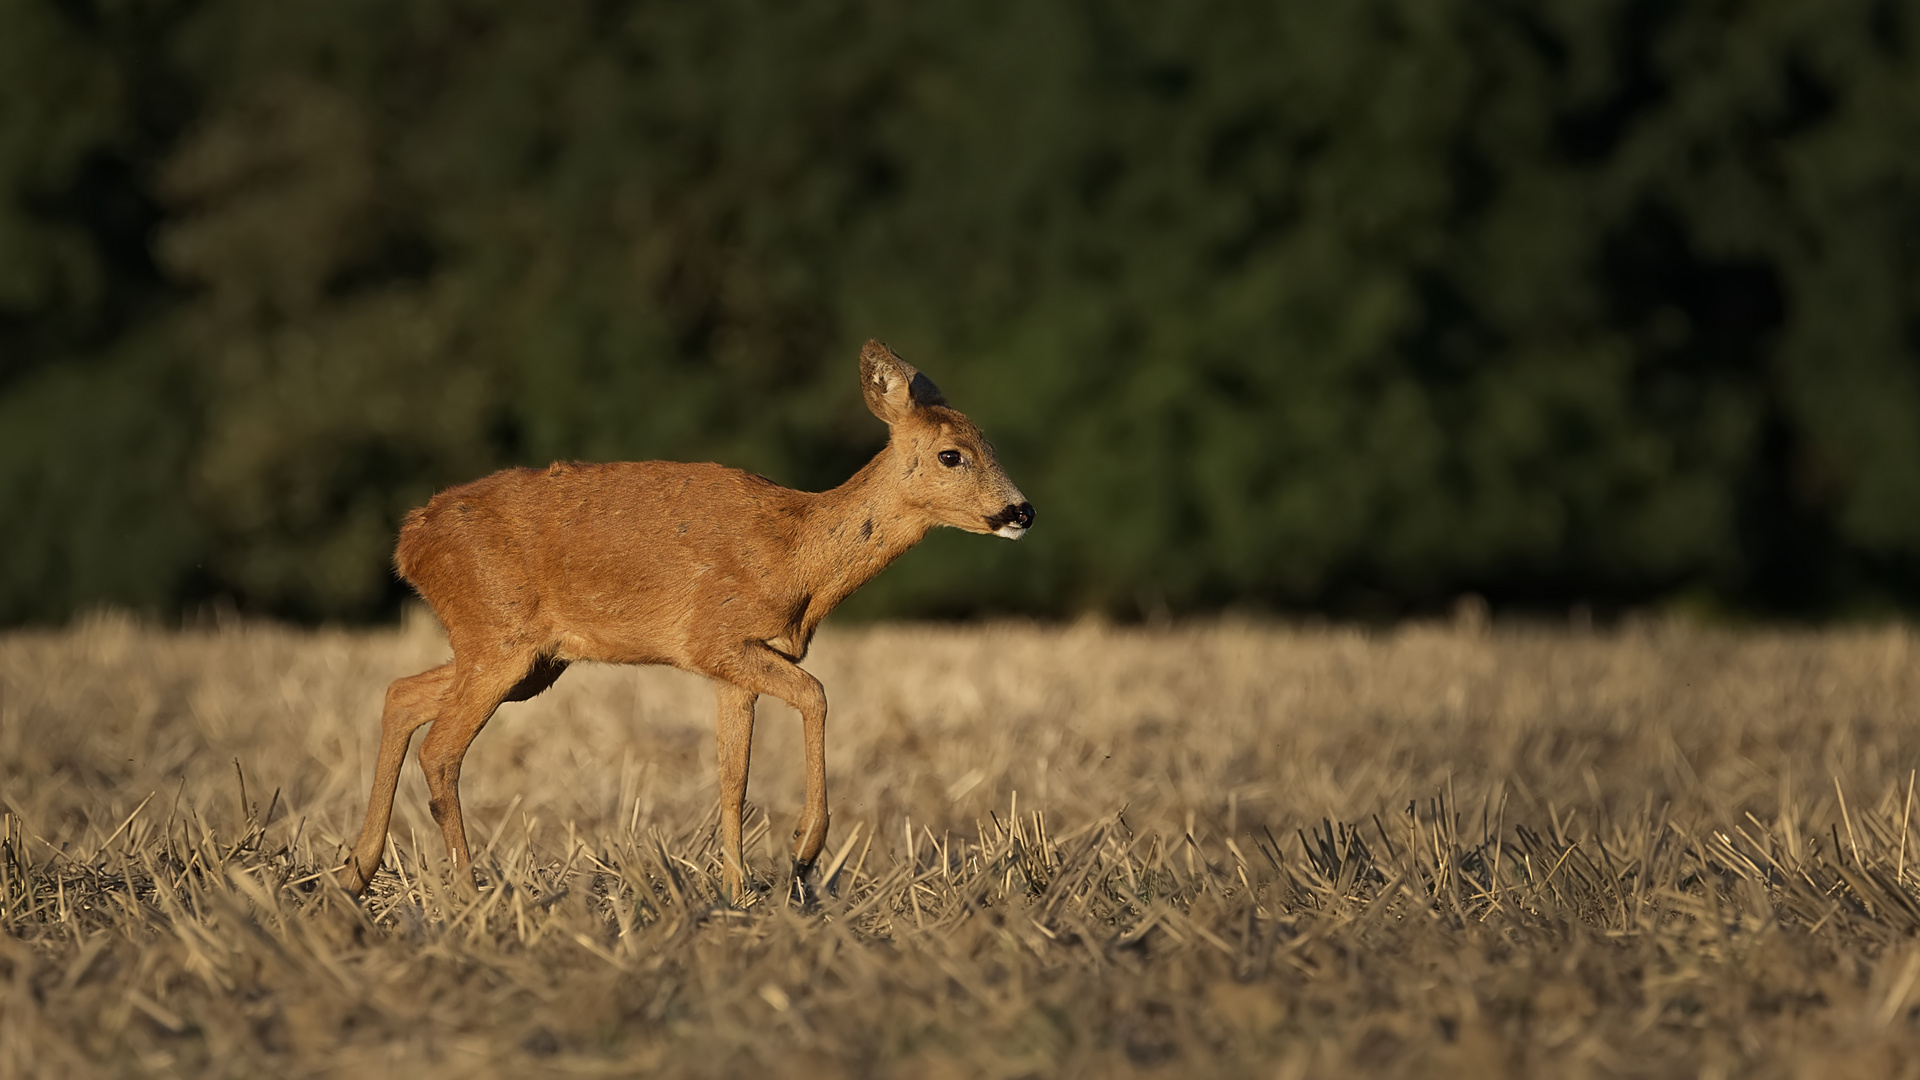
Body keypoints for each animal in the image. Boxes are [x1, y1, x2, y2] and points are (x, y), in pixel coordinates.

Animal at [345, 336, 1036, 899]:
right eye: (952, 455)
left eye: (990, 443)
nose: (1021, 512)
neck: (797, 556)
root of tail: (409, 541)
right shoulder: (713, 638)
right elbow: (815, 695)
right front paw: (805, 850)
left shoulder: (737, 666)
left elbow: (734, 777)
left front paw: (735, 892)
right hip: (501, 634)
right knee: (440, 749)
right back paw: (467, 894)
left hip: (526, 658)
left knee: (401, 694)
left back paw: (357, 871)